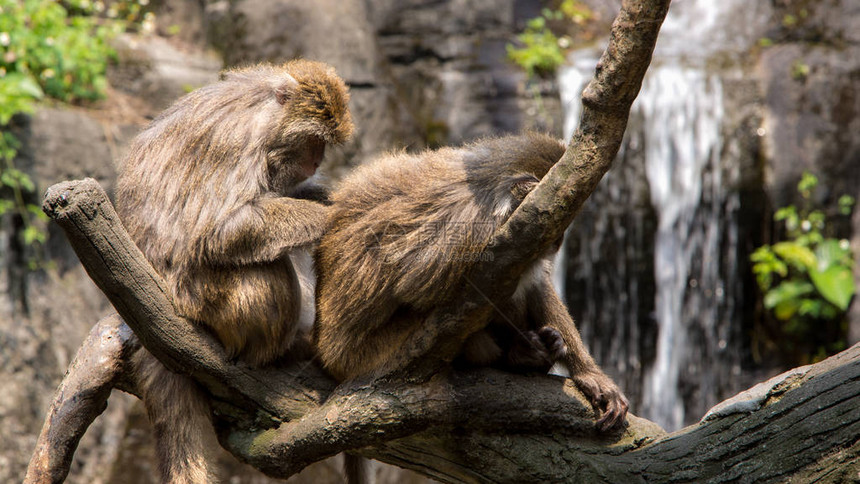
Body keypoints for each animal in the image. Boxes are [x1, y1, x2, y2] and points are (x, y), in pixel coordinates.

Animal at [114, 60, 352, 484]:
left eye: (323, 144)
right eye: (313, 139)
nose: (317, 162)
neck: (260, 110)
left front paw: (323, 196)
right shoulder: (236, 142)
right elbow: (221, 231)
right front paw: (330, 215)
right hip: (206, 301)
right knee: (265, 267)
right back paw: (276, 353)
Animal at [316, 133, 632, 432]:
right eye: (559, 223)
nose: (559, 242)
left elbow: (536, 283)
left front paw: (589, 375)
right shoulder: (475, 230)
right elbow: (428, 290)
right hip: (372, 354)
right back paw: (521, 355)